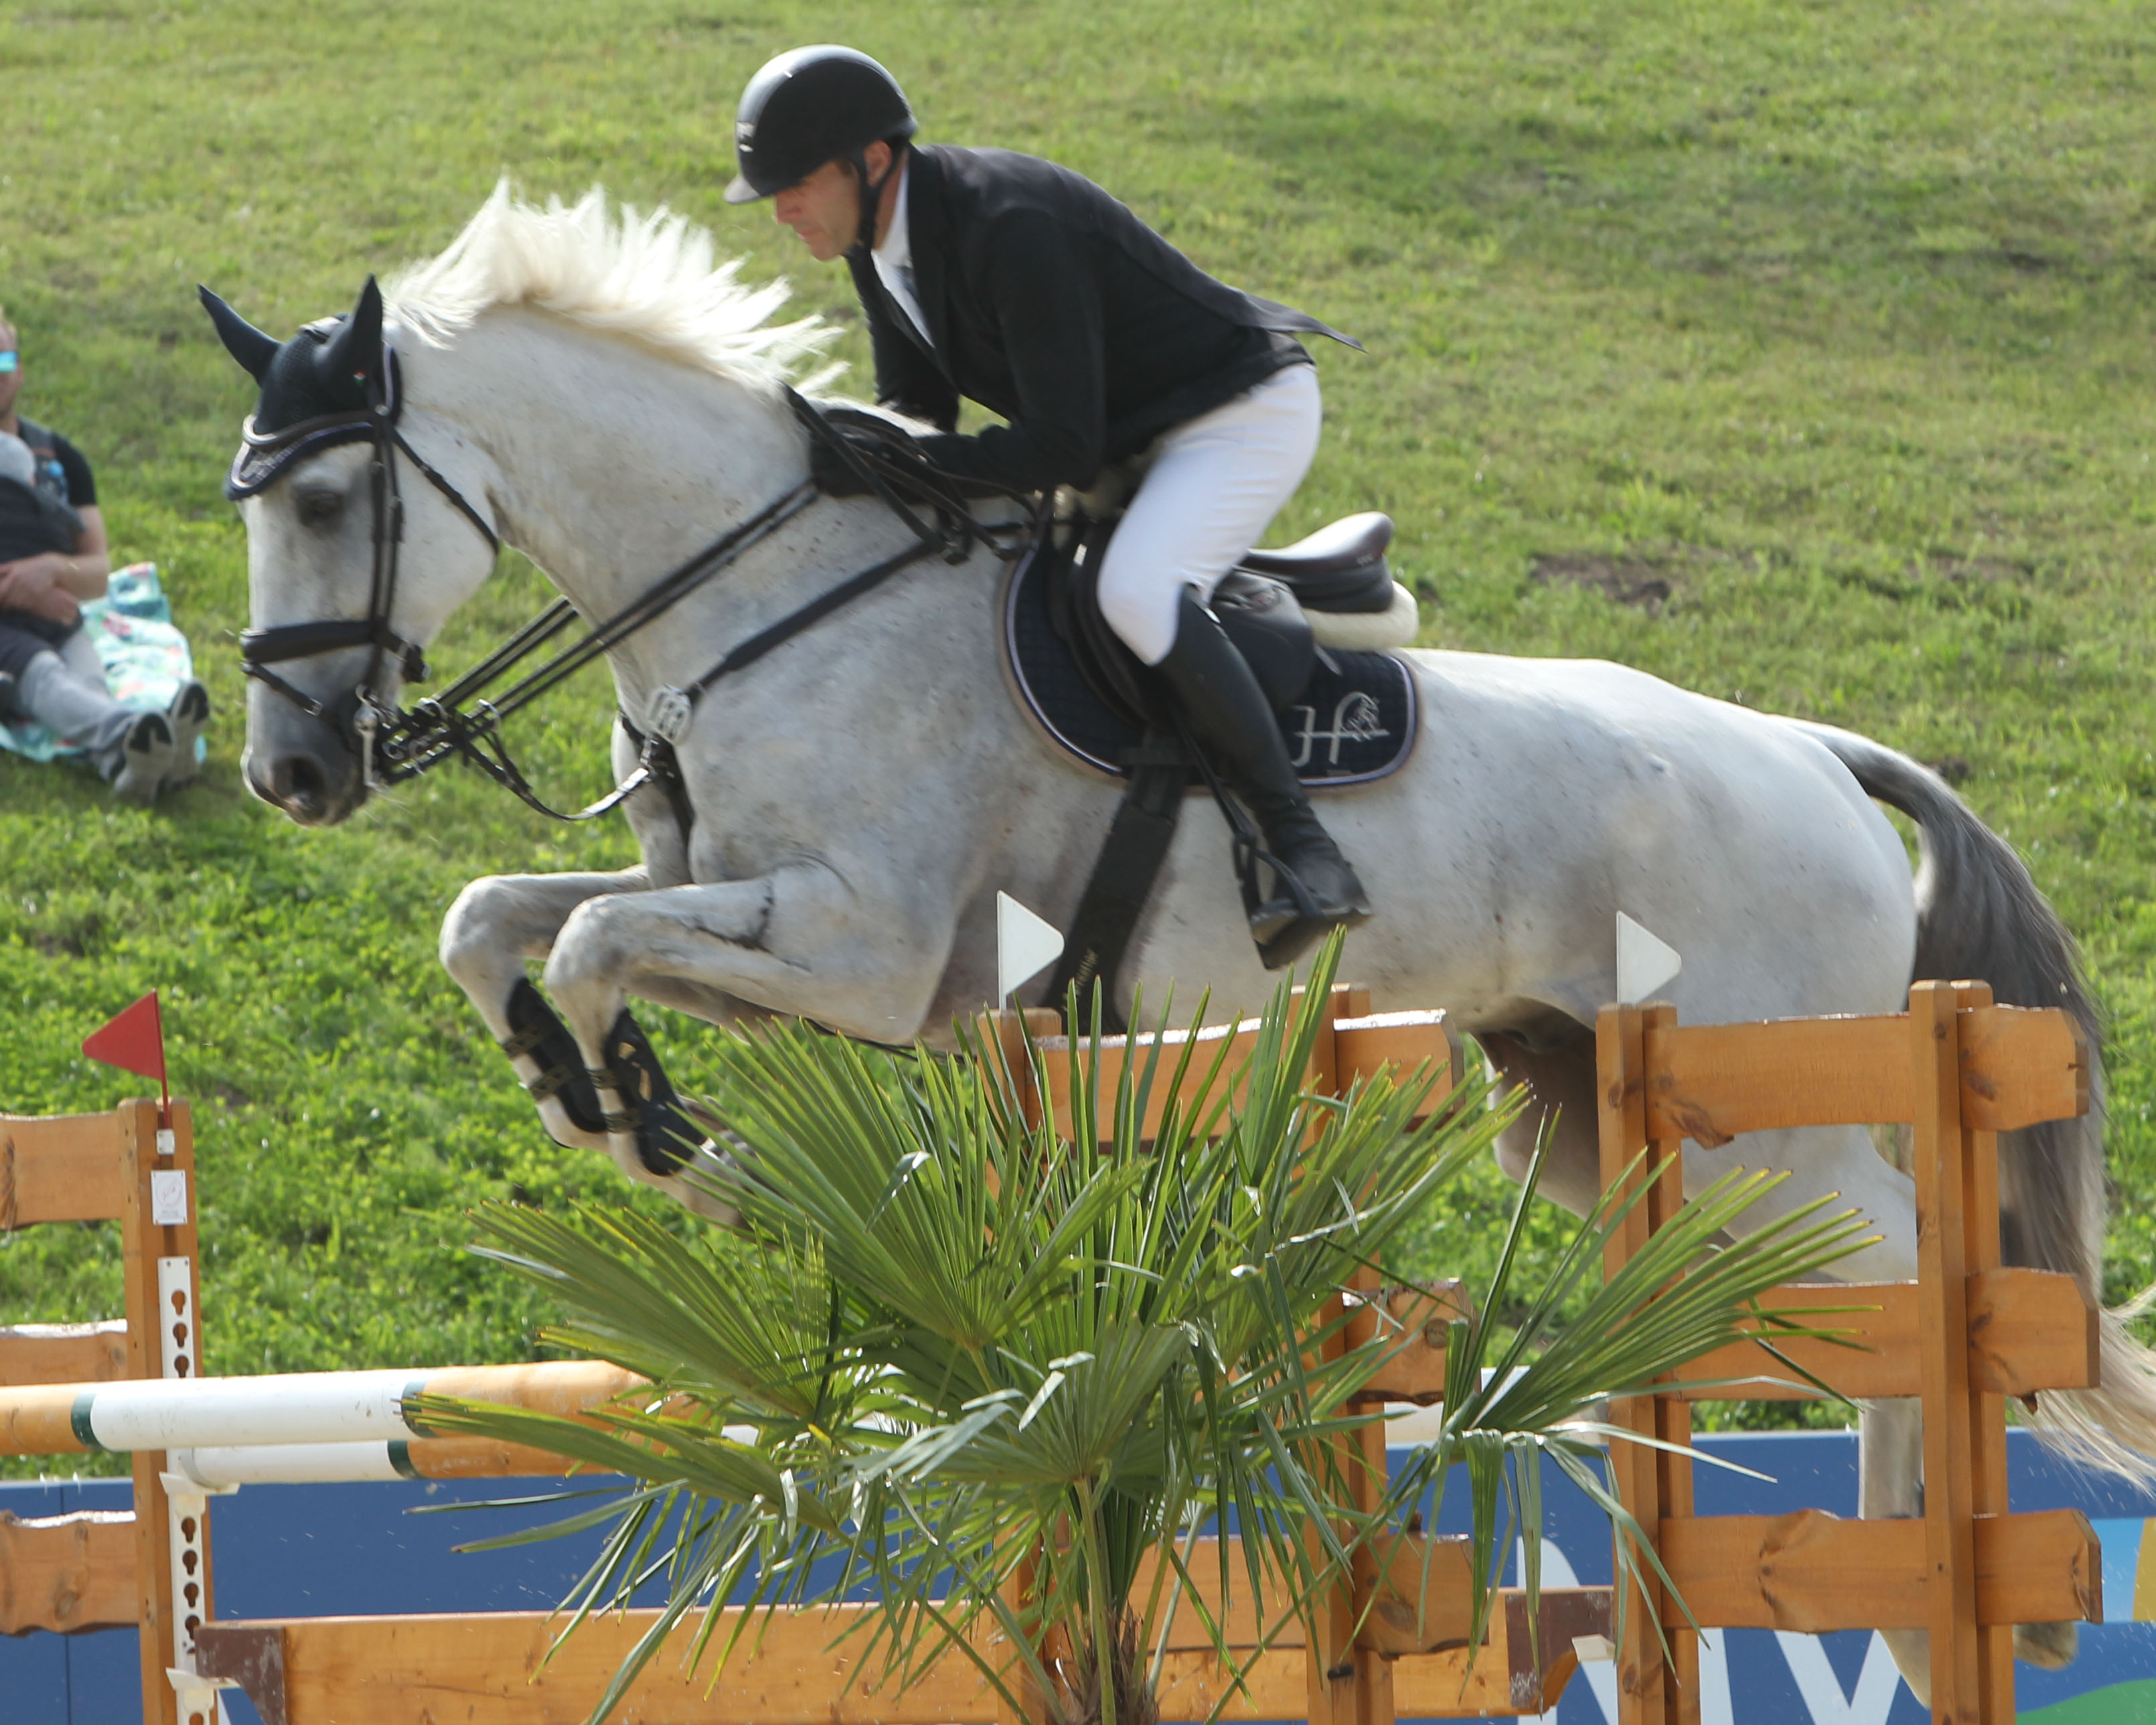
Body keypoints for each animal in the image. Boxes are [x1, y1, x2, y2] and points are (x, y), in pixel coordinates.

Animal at [210, 182, 2147, 1690]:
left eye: (324, 503)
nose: (292, 771)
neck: (767, 598)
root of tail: (1815, 752)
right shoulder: (758, 920)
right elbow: (502, 922)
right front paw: (607, 1106)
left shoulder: (861, 944)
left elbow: (598, 942)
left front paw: (665, 1131)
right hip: (1585, 1112)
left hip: (1765, 1127)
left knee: (1919, 1263)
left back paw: (1924, 1572)